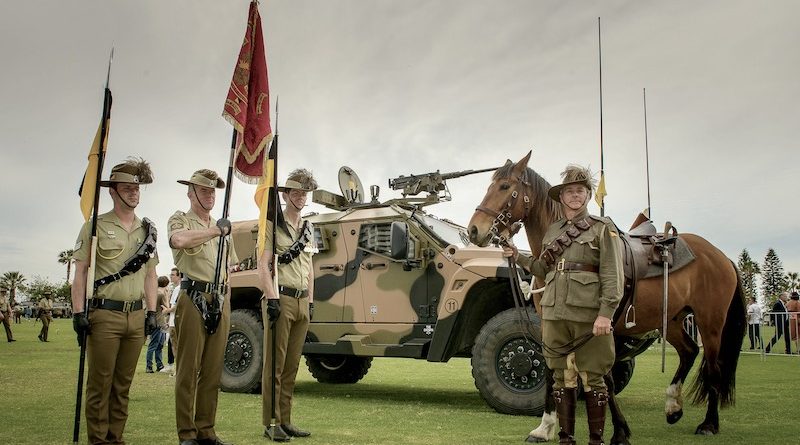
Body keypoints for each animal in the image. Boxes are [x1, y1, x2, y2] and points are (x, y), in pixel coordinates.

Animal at [466, 152, 748, 440]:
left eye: (504, 186)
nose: (474, 230)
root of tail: (720, 256)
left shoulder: (602, 328)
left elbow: (603, 378)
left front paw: (620, 429)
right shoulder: (549, 325)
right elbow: (553, 371)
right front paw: (545, 427)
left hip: (710, 322)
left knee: (713, 367)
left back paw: (709, 423)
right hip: (672, 319)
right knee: (689, 351)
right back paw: (673, 406)